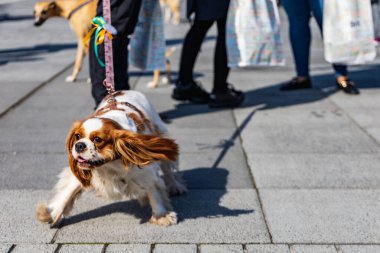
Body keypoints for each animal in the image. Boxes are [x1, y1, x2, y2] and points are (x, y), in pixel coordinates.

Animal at [36, 90, 186, 225]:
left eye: (97, 139)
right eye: (77, 136)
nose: (79, 145)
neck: (109, 165)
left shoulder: (145, 171)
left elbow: (153, 191)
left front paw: (161, 215)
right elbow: (68, 192)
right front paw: (52, 214)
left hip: (160, 132)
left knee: (167, 168)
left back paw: (174, 186)